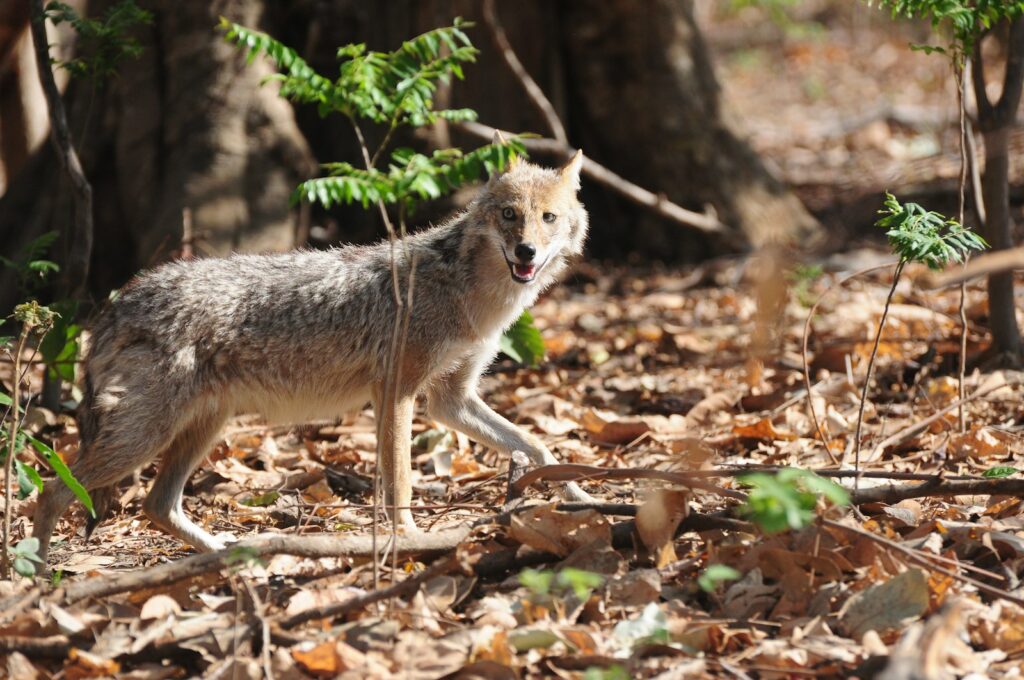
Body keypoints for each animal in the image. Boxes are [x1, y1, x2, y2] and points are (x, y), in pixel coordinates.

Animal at [32, 148, 593, 564]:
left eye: (548, 219)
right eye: (509, 215)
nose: (525, 252)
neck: (467, 292)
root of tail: (115, 304)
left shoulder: (449, 400)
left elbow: (537, 447)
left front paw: (582, 497)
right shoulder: (397, 393)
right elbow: (401, 482)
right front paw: (411, 539)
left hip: (201, 429)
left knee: (156, 505)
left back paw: (229, 555)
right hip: (145, 438)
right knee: (51, 491)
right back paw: (35, 577)